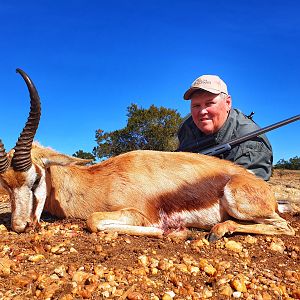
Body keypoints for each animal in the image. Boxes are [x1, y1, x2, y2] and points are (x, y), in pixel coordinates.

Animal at [0, 69, 296, 240]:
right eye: (6, 185)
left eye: (35, 180)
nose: (19, 226)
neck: (97, 180)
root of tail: (265, 191)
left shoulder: (137, 213)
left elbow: (94, 221)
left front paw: (177, 232)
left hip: (238, 202)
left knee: (285, 227)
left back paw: (217, 230)